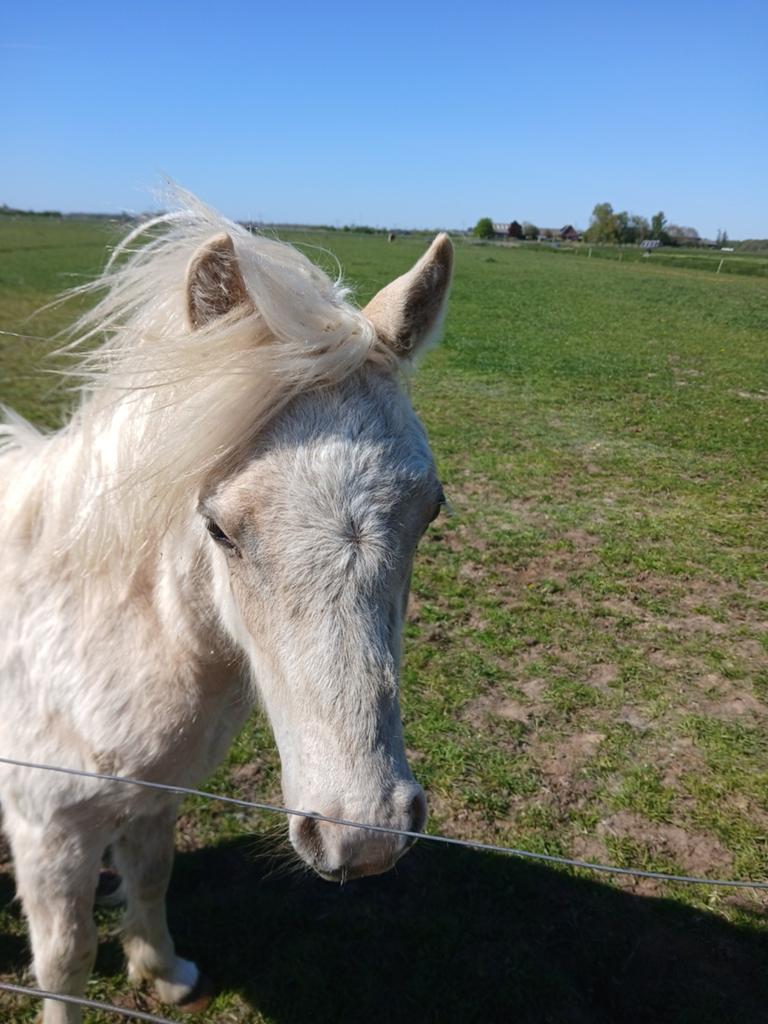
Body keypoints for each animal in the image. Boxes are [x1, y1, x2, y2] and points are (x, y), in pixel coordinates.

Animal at [0, 191, 453, 1023]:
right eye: (217, 528)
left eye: (431, 509)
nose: (362, 835)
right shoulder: (46, 831)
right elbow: (64, 961)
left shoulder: (156, 796)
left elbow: (151, 878)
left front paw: (165, 971)